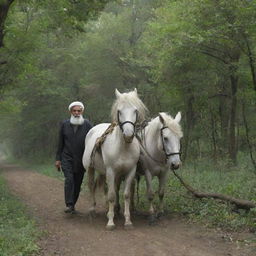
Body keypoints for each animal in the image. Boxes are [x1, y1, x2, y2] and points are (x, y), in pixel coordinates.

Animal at [83, 88, 147, 230]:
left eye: (135, 111)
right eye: (119, 111)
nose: (128, 135)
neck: (123, 148)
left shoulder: (130, 172)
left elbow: (126, 194)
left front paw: (128, 221)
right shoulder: (111, 171)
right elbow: (112, 195)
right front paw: (110, 222)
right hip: (90, 168)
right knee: (92, 185)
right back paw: (92, 209)